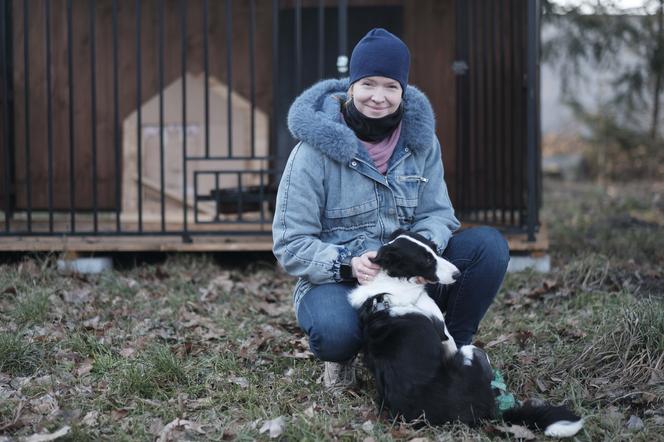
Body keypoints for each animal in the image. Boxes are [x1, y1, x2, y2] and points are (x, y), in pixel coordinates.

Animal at [348, 230, 580, 436]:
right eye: (426, 261)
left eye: (435, 249)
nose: (458, 274)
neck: (387, 289)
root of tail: (487, 413)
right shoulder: (445, 335)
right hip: (471, 351)